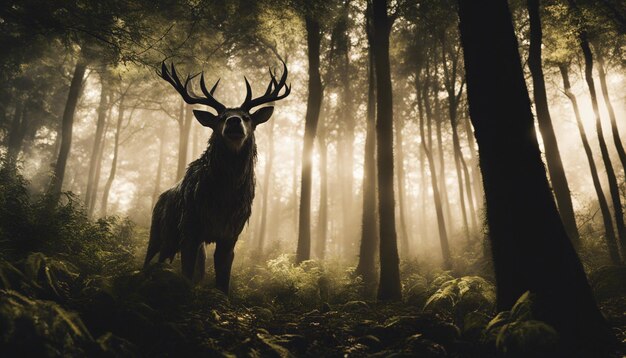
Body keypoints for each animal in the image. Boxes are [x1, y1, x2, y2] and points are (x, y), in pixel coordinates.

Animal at [145, 60, 292, 292]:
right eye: (221, 118)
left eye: (247, 117)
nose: (234, 121)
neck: (223, 200)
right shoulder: (190, 228)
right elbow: (186, 277)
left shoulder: (230, 234)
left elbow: (223, 281)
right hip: (158, 234)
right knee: (149, 261)